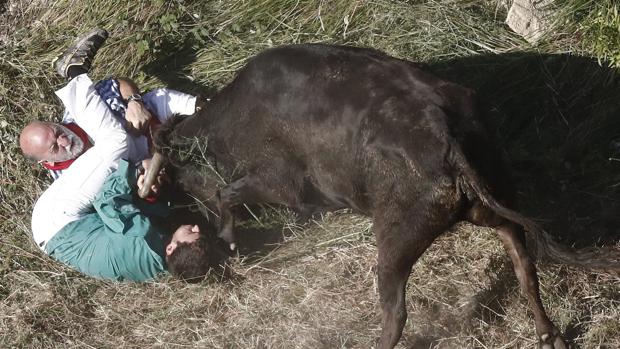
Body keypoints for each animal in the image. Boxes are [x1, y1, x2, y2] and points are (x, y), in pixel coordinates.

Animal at [144, 44, 616, 348]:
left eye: (176, 178)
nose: (190, 221)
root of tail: (446, 136)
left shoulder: (281, 183)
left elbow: (228, 192)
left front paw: (228, 239)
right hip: (498, 204)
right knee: (523, 262)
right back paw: (549, 335)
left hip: (394, 242)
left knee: (396, 313)